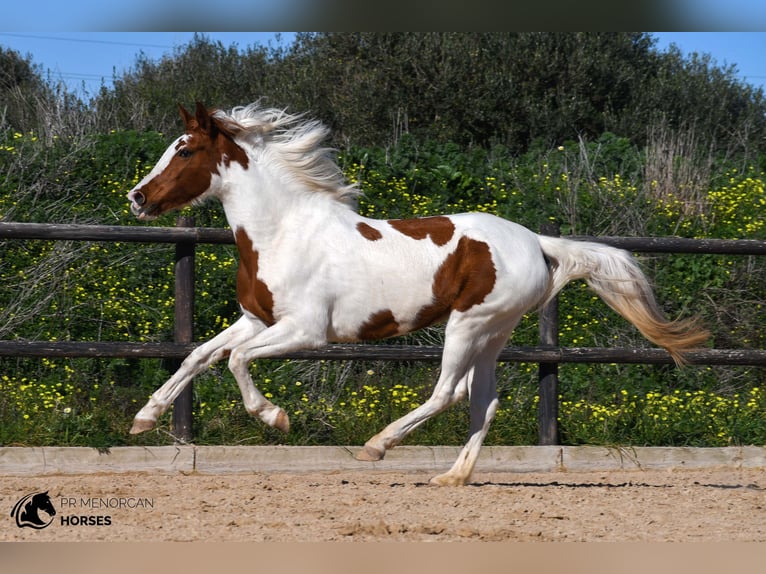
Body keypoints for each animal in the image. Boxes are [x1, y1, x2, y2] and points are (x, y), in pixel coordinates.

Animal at [127, 102, 712, 486]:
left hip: (468, 324)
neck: (284, 231)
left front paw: (274, 417)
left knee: (448, 392)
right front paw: (145, 418)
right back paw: (452, 477)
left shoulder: (306, 331)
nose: (138, 198)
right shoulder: (257, 319)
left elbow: (235, 361)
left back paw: (377, 447)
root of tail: (536, 242)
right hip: (493, 332)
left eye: (185, 150)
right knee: (484, 399)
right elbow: (199, 356)